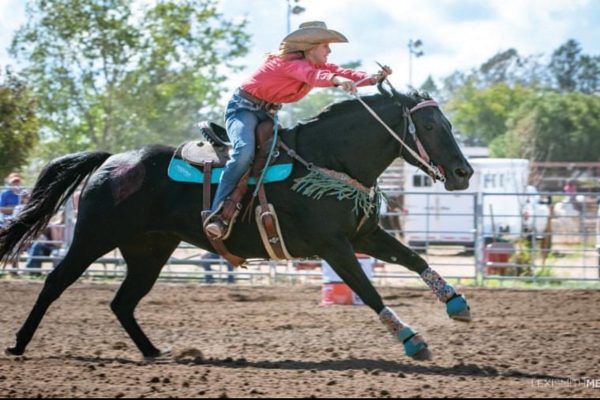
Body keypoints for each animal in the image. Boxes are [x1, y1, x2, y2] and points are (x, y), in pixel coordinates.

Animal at [2, 84, 476, 360]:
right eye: (430, 125)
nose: (463, 173)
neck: (327, 160)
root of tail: (111, 160)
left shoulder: (367, 235)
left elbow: (414, 259)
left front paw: (457, 304)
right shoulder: (333, 246)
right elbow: (368, 289)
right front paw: (412, 339)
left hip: (149, 250)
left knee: (123, 301)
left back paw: (154, 351)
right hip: (93, 237)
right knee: (55, 282)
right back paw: (20, 343)